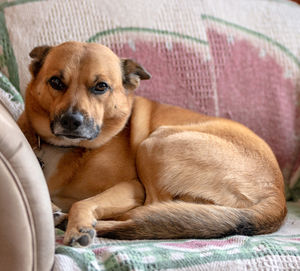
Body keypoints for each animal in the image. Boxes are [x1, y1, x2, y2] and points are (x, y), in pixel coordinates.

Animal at [18, 41, 286, 248]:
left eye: (101, 87)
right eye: (56, 82)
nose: (72, 121)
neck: (63, 147)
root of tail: (277, 193)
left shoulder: (133, 187)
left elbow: (83, 202)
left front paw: (79, 225)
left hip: (156, 143)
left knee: (147, 212)